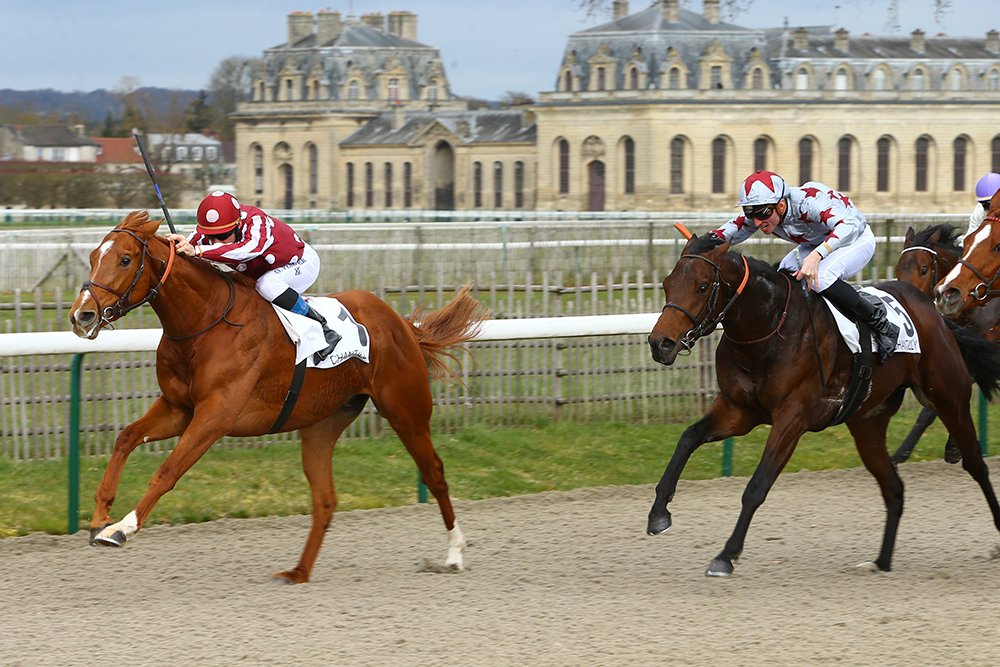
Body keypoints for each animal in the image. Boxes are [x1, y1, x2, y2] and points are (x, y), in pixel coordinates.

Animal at [67, 213, 488, 584]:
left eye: (124, 259)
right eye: (93, 257)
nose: (81, 316)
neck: (204, 322)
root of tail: (402, 324)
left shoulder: (215, 416)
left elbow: (167, 471)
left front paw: (121, 528)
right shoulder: (178, 409)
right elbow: (125, 438)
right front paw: (99, 516)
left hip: (406, 410)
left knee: (434, 473)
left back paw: (454, 553)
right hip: (323, 423)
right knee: (325, 499)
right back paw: (298, 573)